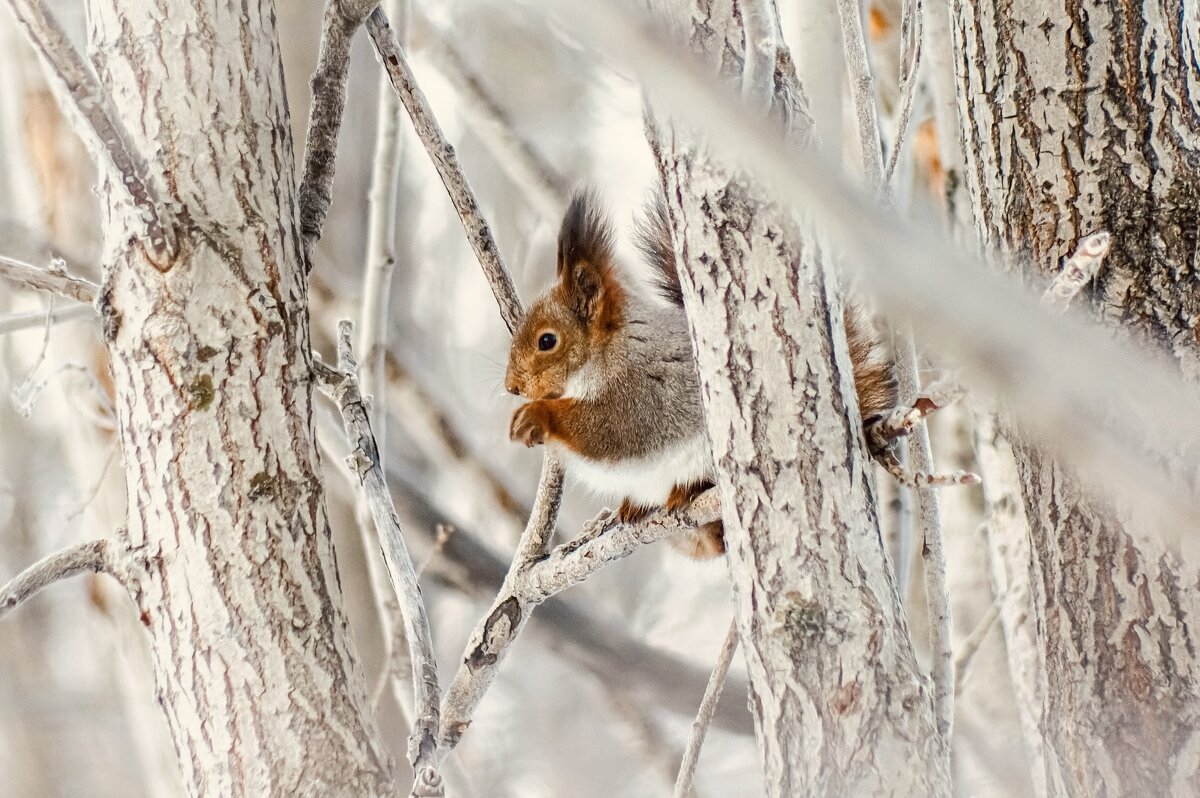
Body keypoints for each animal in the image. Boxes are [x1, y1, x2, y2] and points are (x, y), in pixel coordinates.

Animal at [504, 189, 902, 556]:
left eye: (547, 341)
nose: (512, 387)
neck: (611, 350)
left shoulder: (644, 388)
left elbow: (613, 431)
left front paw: (536, 416)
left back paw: (687, 490)